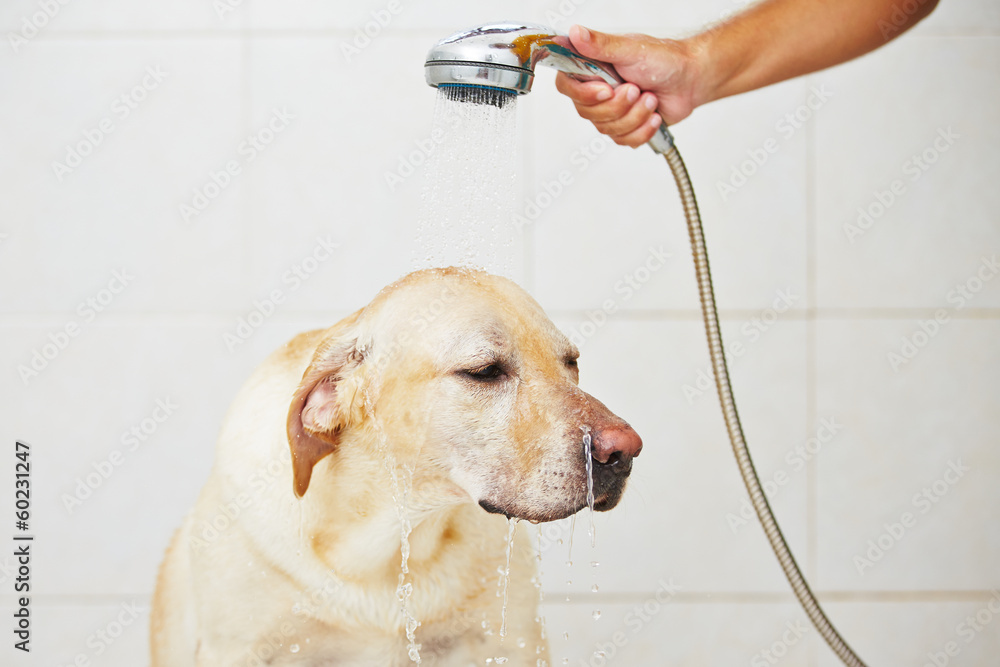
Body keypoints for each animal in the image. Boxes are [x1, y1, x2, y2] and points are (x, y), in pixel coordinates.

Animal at [152, 268, 644, 664]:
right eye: (485, 371)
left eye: (571, 363)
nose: (625, 451)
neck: (384, 536)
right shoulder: (238, 648)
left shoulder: (513, 642)